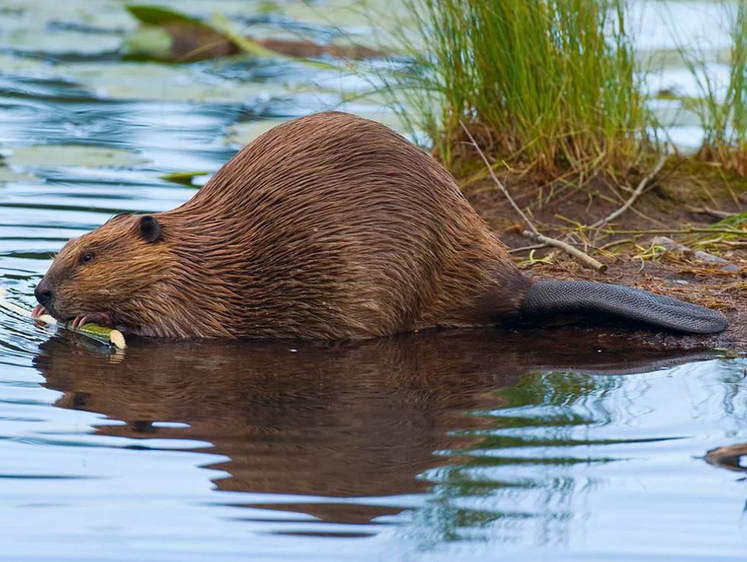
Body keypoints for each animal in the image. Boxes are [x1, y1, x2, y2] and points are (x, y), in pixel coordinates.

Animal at [32, 110, 728, 336]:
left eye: (89, 255)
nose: (41, 289)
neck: (198, 250)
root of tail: (522, 285)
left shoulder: (198, 294)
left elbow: (172, 327)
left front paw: (89, 319)